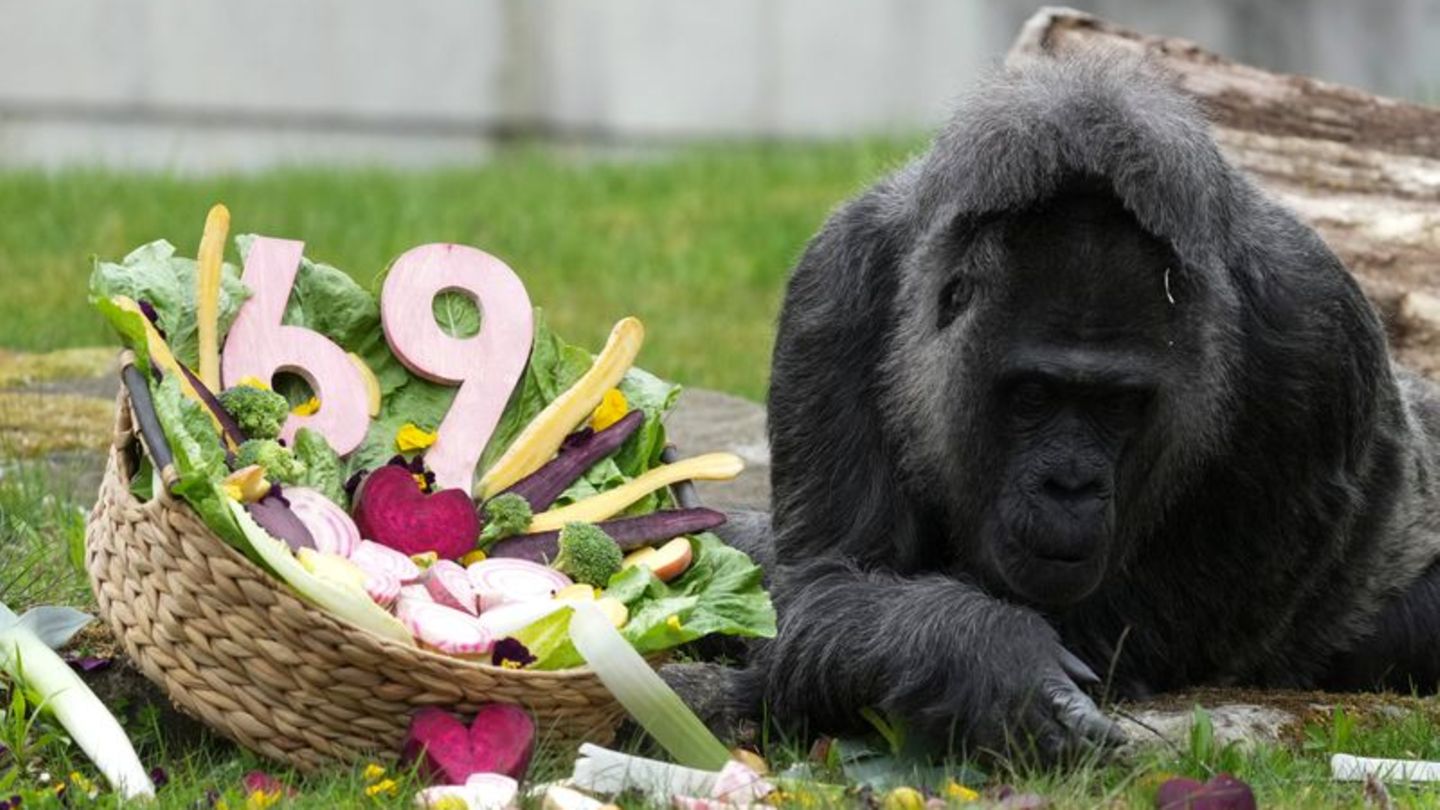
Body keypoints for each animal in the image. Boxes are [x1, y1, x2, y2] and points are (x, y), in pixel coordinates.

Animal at [727, 53, 1440, 760]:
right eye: (1033, 396)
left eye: (1118, 404)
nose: (1068, 484)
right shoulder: (835, 288)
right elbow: (828, 587)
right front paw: (978, 657)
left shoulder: (1316, 335)